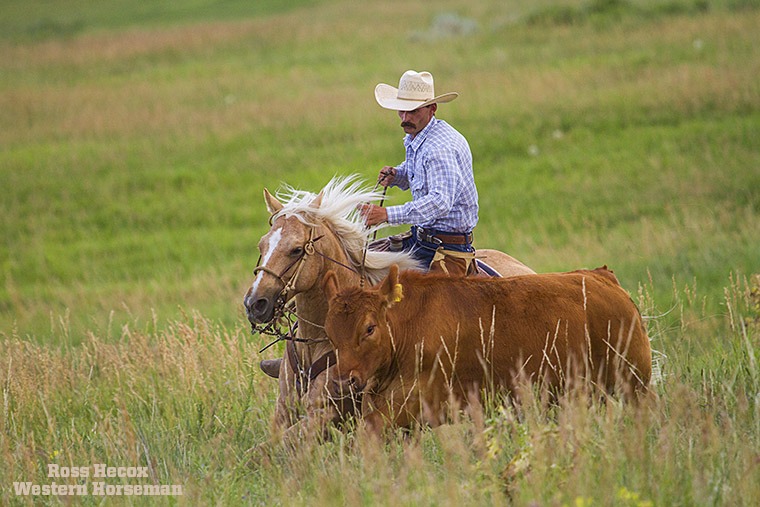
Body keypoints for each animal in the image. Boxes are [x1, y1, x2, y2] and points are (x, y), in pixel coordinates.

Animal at [322, 265, 652, 435]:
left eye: (369, 328)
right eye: (329, 331)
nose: (343, 381)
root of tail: (600, 276)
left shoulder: (417, 402)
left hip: (634, 386)